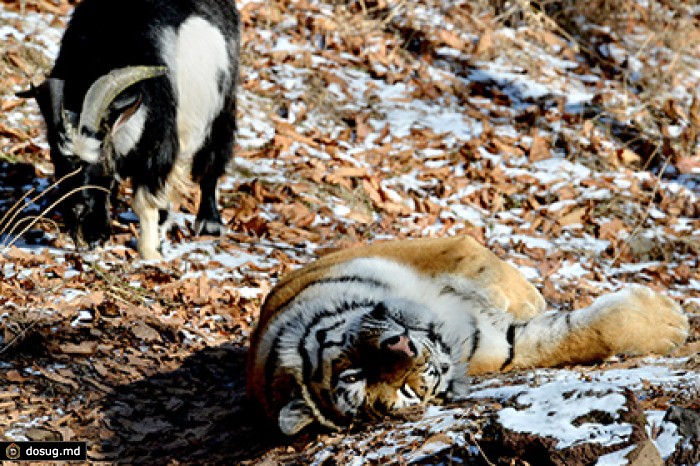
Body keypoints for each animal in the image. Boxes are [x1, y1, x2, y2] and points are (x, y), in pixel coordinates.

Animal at [20, 0, 239, 258]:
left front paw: (150, 253)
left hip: (222, 104)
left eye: (101, 163)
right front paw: (96, 236)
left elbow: (145, 201)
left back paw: (209, 222)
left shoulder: (160, 149)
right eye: (56, 160)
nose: (77, 211)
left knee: (214, 155)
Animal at [245, 237, 688, 436]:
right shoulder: (499, 345)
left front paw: (523, 296)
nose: (404, 347)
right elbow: (569, 336)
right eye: (404, 392)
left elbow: (471, 254)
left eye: (353, 372)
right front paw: (671, 323)